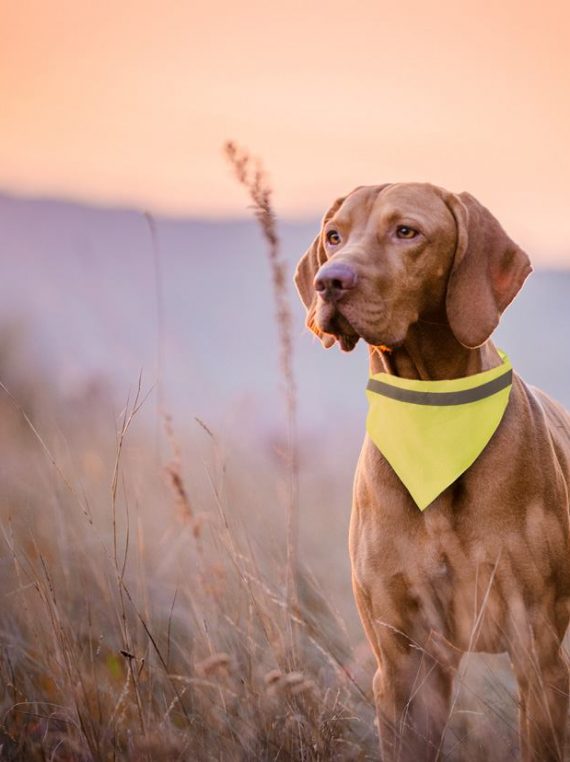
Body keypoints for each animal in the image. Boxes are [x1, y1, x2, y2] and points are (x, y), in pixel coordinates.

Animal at [292, 184, 568, 760]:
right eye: (335, 235)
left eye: (406, 231)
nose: (329, 281)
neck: (432, 418)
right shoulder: (404, 663)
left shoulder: (538, 653)